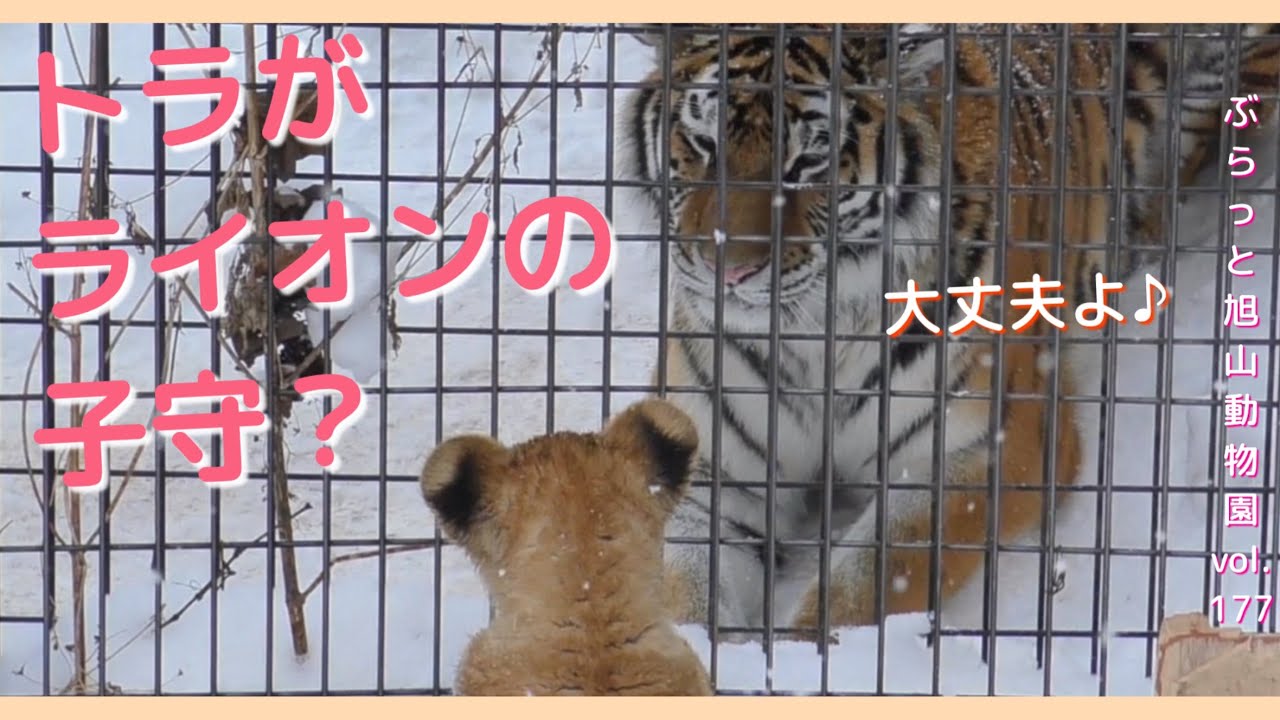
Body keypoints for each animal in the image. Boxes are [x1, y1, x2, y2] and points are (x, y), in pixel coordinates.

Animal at [619, 24, 1280, 640]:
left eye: (808, 163)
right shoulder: (711, 468)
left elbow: (873, 575)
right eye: (703, 144)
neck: (811, 332)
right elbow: (674, 589)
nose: (728, 270)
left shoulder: (983, 445)